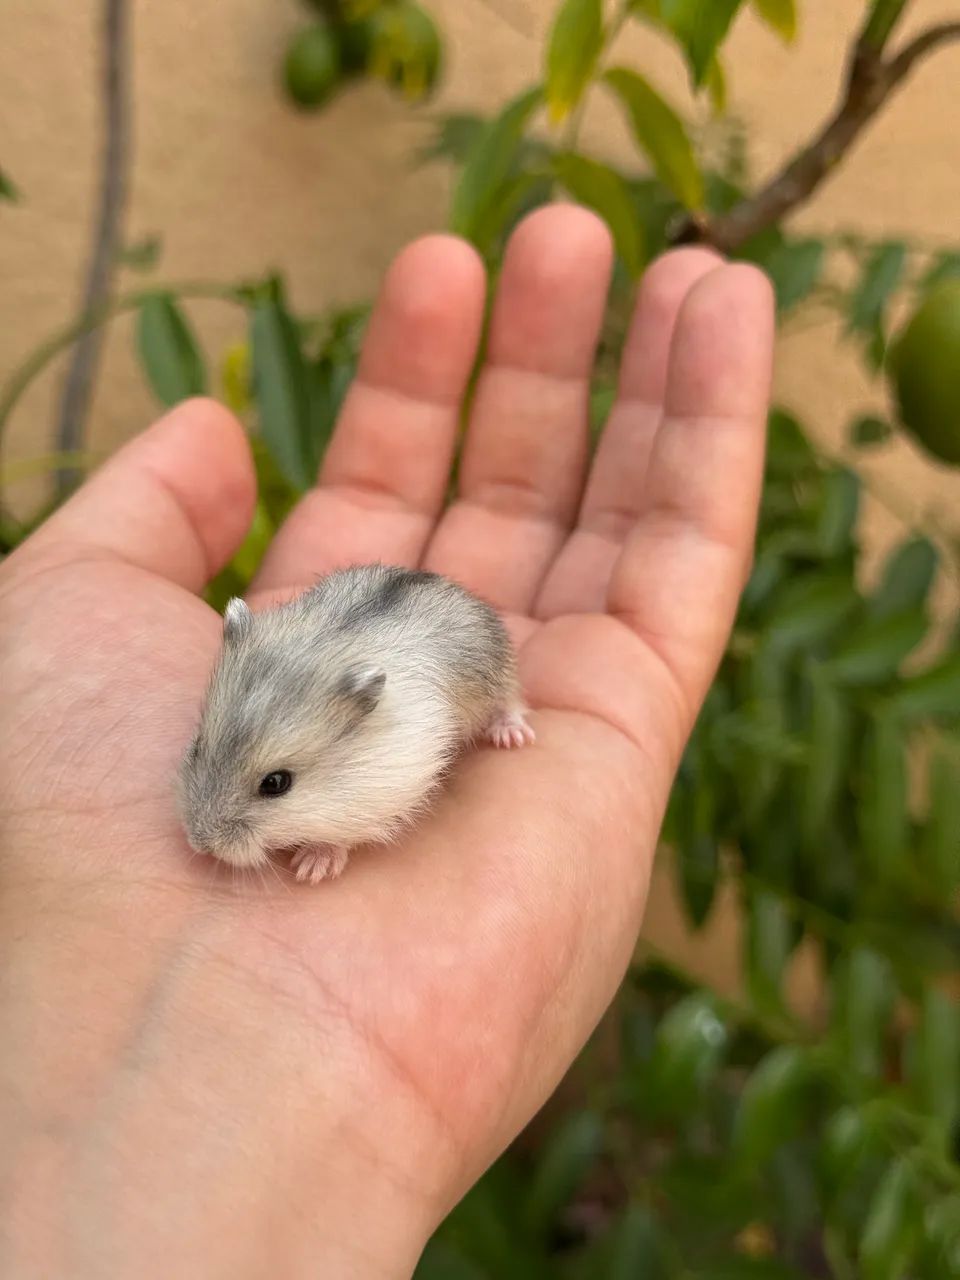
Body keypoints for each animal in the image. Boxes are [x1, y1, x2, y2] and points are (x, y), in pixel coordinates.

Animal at [177, 564, 535, 884]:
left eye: (276, 783)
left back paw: (512, 736)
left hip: (495, 673)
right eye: (197, 747)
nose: (199, 843)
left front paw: (312, 868)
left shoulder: (390, 783)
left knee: (509, 701)